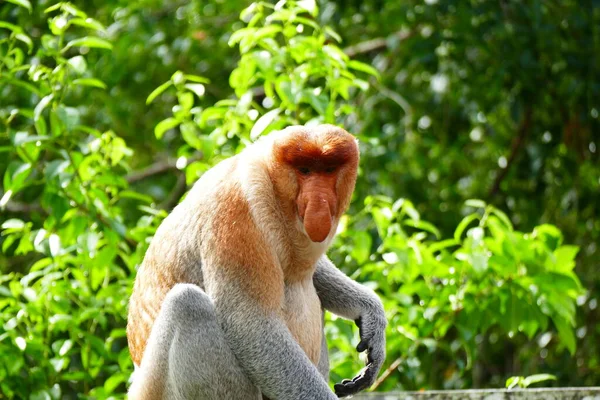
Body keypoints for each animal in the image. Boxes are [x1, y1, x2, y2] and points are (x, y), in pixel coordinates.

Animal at [128, 125, 386, 400]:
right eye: (305, 170)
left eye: (328, 170)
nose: (319, 201)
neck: (272, 184)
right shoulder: (237, 215)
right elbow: (250, 321)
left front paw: (371, 316)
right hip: (157, 389)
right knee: (187, 304)